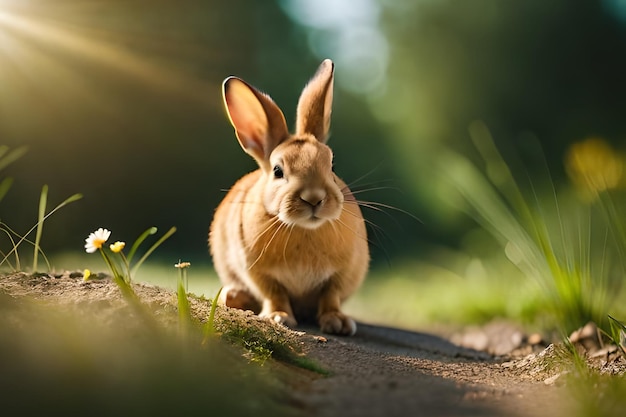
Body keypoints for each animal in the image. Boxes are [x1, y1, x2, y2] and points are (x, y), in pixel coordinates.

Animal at [207, 59, 368, 334]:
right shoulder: (259, 273)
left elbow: (330, 296)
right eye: (277, 171)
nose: (314, 198)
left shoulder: (341, 274)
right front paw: (278, 317)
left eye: (332, 165)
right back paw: (234, 297)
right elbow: (275, 293)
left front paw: (338, 323)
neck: (304, 229)